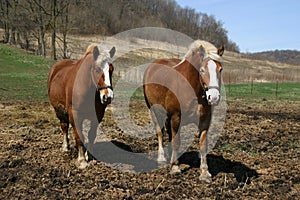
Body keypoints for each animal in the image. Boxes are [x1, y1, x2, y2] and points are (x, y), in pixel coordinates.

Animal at [144, 39, 225, 182]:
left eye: (220, 69)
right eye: (202, 70)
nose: (214, 97)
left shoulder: (205, 120)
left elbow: (203, 145)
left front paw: (205, 172)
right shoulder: (176, 117)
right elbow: (176, 142)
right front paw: (175, 168)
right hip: (154, 111)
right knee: (160, 133)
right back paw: (162, 157)